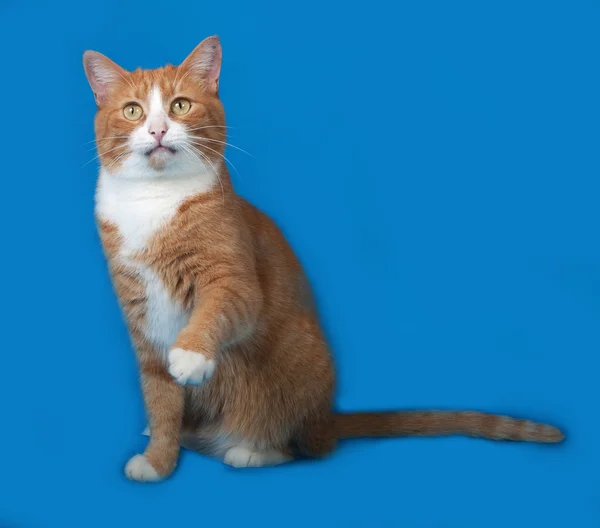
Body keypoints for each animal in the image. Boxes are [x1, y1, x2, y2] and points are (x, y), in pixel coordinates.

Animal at [83, 36, 564, 482]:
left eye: (180, 105)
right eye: (133, 111)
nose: (158, 131)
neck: (153, 204)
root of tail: (327, 418)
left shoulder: (234, 280)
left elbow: (216, 310)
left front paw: (190, 356)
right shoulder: (143, 322)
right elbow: (161, 399)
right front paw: (159, 460)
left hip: (295, 382)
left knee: (304, 447)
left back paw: (253, 450)